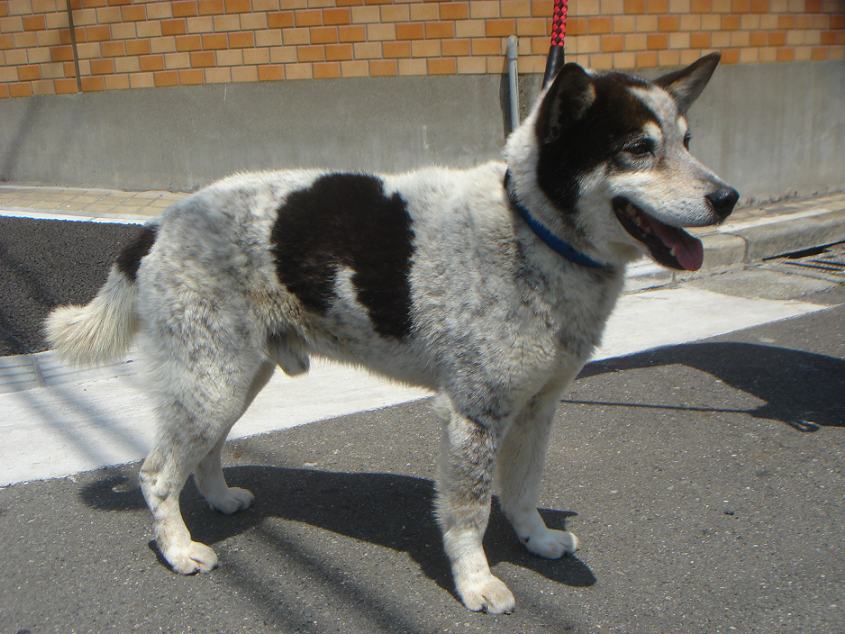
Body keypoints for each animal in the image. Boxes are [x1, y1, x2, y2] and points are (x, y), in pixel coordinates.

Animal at [46, 54, 736, 612]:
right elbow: (470, 513)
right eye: (637, 148)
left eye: (687, 141)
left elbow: (522, 490)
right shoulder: (473, 416)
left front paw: (536, 539)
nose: (728, 197)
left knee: (206, 452)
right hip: (210, 380)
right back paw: (179, 550)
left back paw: (218, 502)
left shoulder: (537, 409)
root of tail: (158, 225)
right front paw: (476, 583)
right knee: (157, 473)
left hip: (233, 378)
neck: (532, 230)